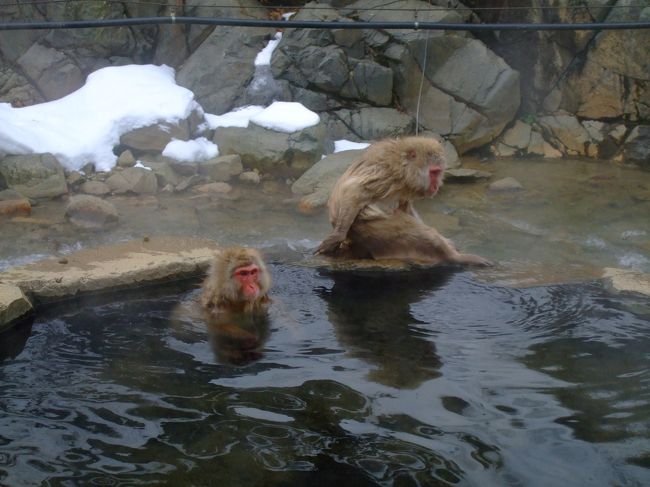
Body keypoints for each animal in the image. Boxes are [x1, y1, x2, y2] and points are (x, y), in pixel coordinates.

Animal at [316, 137, 492, 266]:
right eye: (434, 172)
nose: (436, 186)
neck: (404, 169)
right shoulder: (385, 173)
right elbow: (354, 189)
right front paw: (337, 235)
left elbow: (405, 207)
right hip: (368, 229)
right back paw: (455, 258)